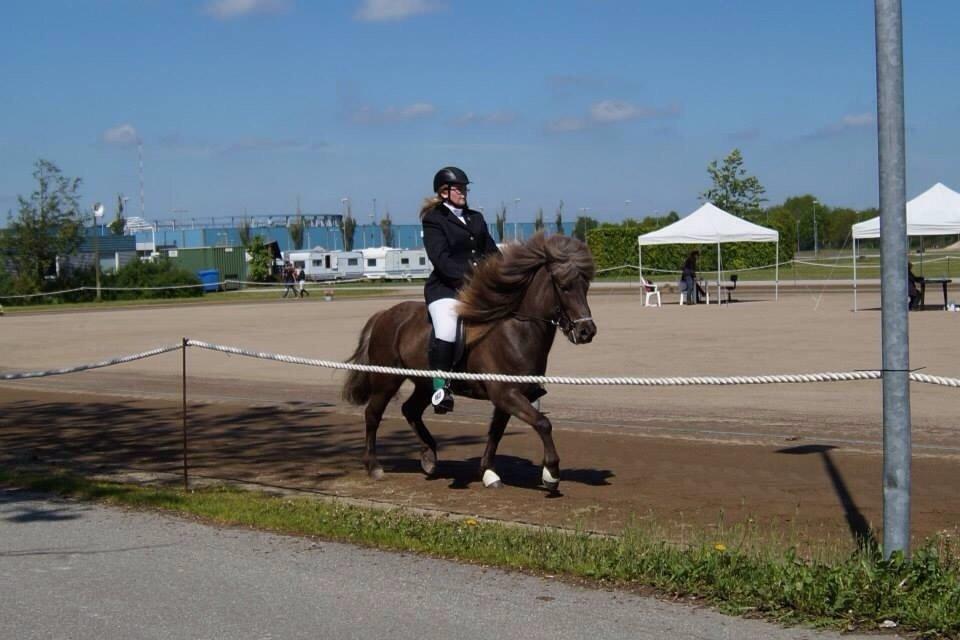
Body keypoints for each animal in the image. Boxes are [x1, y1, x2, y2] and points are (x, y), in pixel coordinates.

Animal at [342, 232, 596, 492]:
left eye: (586, 286)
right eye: (564, 287)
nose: (587, 331)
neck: (516, 331)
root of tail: (384, 314)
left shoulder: (509, 396)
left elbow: (496, 433)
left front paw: (489, 473)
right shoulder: (506, 394)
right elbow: (543, 423)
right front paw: (551, 473)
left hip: (424, 384)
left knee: (410, 410)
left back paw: (429, 457)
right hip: (386, 380)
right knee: (373, 414)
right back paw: (374, 466)